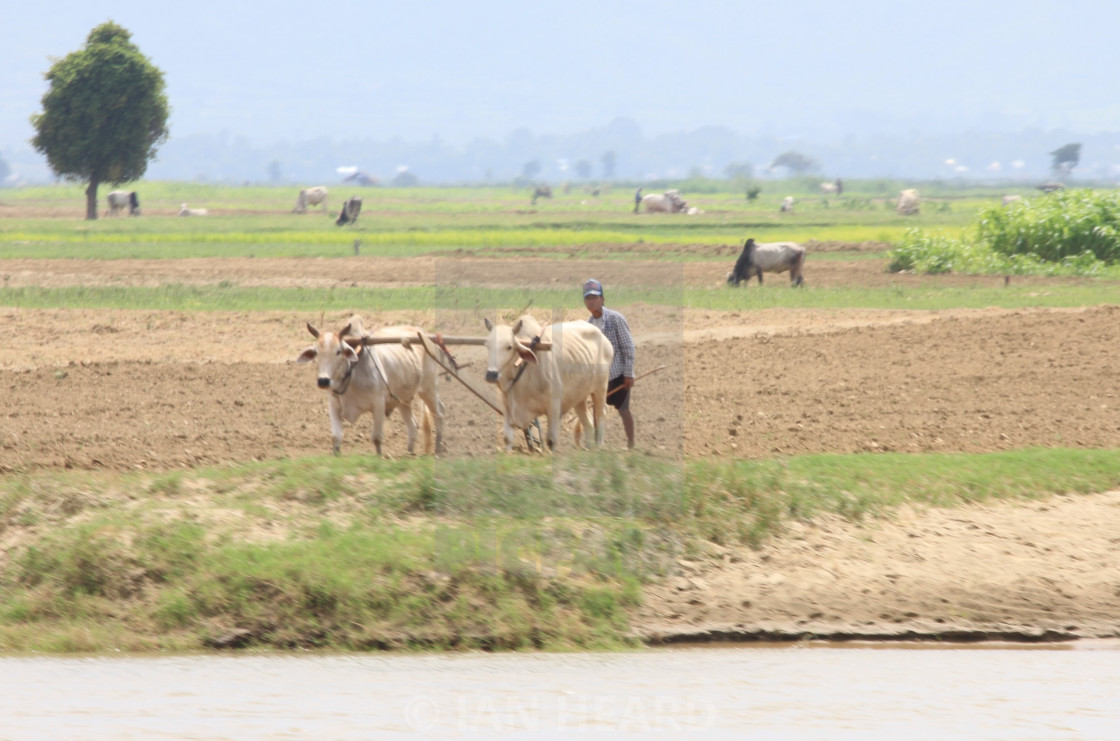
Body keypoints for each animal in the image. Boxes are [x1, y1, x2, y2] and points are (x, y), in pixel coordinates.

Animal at [297, 315, 445, 456]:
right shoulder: (334, 405)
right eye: (317, 352)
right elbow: (336, 437)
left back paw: (438, 449)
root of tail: (423, 334)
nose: (323, 381)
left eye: (338, 351)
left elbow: (377, 437)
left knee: (439, 414)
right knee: (413, 425)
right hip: (403, 399)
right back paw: (410, 453)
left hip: (429, 389)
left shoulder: (378, 404)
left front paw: (379, 456)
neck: (352, 373)